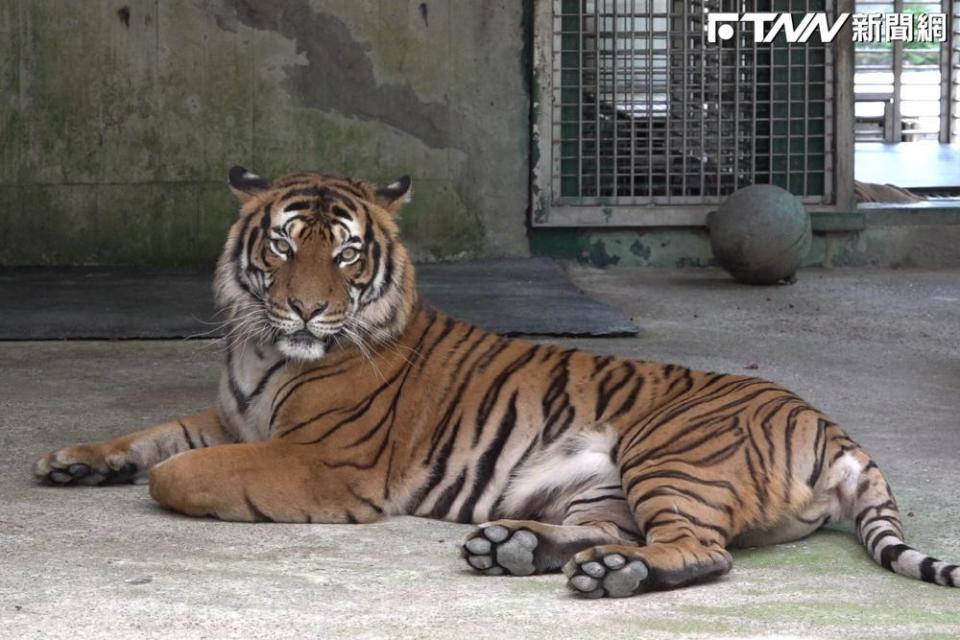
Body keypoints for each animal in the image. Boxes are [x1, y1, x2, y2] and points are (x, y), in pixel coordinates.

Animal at [31, 166, 960, 596]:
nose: (305, 309)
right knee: (617, 535)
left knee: (705, 552)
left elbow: (178, 472)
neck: (264, 349)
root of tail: (837, 429)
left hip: (669, 451)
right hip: (601, 490)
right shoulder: (234, 417)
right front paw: (70, 459)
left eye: (347, 254)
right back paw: (511, 547)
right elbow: (153, 432)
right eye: (284, 244)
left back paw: (601, 577)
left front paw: (151, 478)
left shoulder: (328, 463)